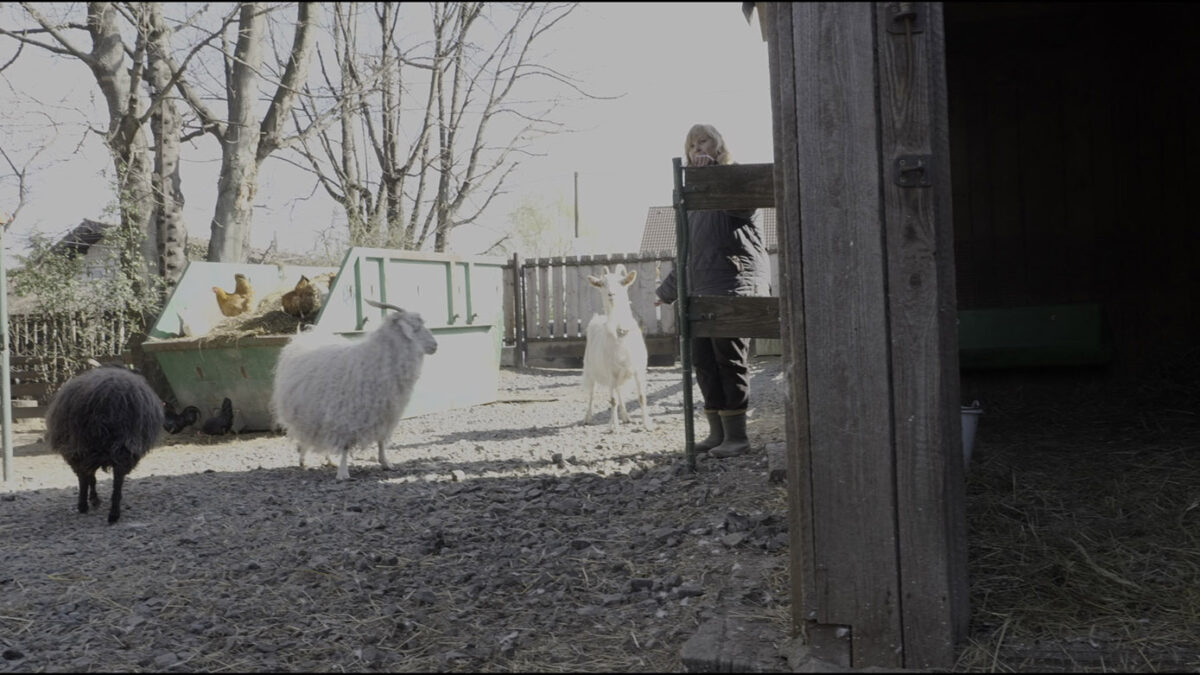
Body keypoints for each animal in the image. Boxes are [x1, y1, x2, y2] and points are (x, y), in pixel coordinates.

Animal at [45, 365, 164, 523]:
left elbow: (90, 478)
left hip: (82, 446)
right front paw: (94, 499)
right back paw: (113, 513)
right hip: (122, 445)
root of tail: (108, 398)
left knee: (86, 477)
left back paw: (85, 505)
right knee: (116, 479)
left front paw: (93, 499)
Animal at [270, 297, 439, 478]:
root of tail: (306, 335)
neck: (375, 360)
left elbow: (381, 440)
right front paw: (343, 472)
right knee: (304, 435)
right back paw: (304, 460)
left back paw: (329, 460)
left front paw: (385, 463)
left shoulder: (385, 413)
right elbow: (345, 444)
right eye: (415, 327)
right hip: (304, 413)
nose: (435, 345)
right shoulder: (345, 415)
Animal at [578, 263, 652, 429]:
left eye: (622, 282)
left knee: (618, 392)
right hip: (590, 370)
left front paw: (646, 424)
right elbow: (612, 401)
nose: (611, 294)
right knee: (592, 393)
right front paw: (614, 428)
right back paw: (588, 418)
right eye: (601, 284)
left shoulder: (639, 370)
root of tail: (597, 318)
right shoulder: (611, 372)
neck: (620, 332)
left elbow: (642, 397)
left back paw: (625, 416)